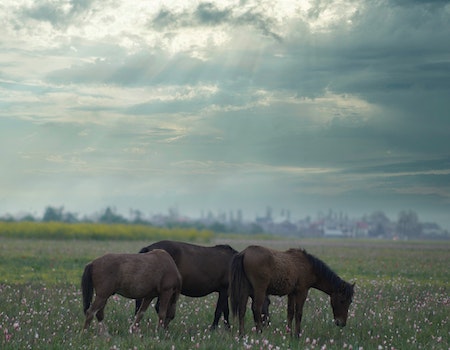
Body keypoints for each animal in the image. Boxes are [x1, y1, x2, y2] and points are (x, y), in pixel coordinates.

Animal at [136, 239, 270, 330]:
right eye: (268, 303)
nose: (267, 323)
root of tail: (148, 249)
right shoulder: (224, 290)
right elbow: (219, 311)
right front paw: (213, 329)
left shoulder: (224, 291)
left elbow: (225, 311)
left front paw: (227, 328)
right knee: (158, 307)